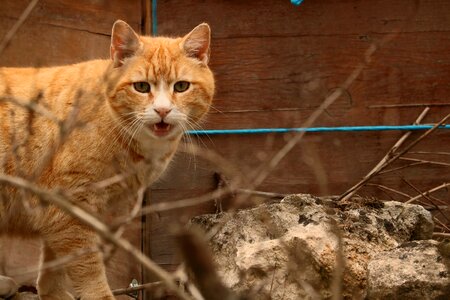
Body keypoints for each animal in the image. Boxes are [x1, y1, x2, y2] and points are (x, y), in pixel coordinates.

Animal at [0, 19, 214, 298]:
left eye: (181, 86)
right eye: (141, 87)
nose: (162, 110)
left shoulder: (63, 212)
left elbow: (54, 261)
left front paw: (53, 293)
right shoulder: (71, 207)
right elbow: (87, 265)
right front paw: (98, 294)